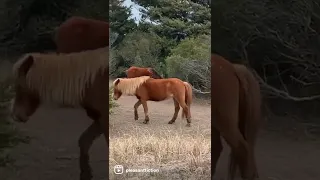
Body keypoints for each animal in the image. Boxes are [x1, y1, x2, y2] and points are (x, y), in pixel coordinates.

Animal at [9, 46, 109, 180]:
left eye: (19, 86)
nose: (16, 115)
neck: (91, 81)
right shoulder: (99, 119)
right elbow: (84, 141)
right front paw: (85, 174)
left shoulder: (105, 119)